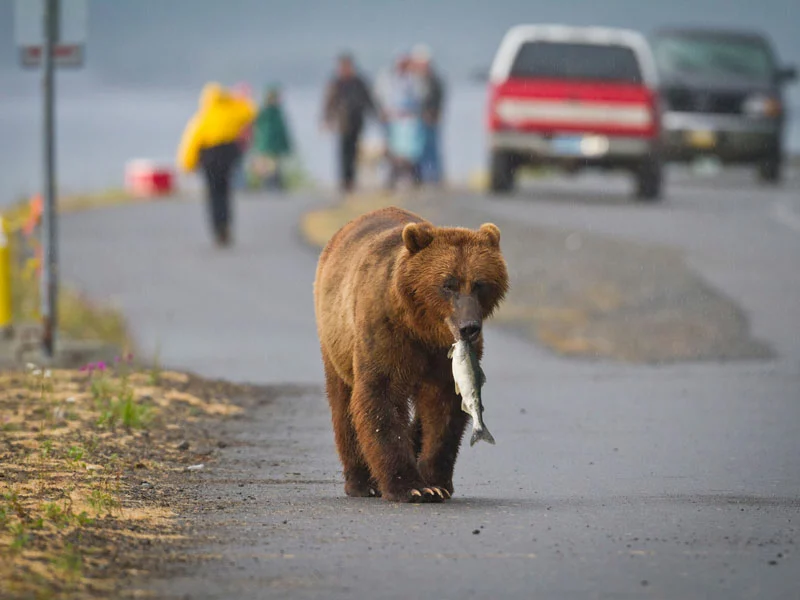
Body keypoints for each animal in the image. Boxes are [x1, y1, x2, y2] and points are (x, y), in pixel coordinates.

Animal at [312, 206, 506, 502]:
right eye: (447, 284)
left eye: (479, 283)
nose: (469, 327)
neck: (425, 329)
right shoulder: (387, 331)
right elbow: (382, 397)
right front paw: (410, 486)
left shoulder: (442, 361)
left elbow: (444, 409)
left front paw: (436, 482)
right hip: (336, 339)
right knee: (343, 405)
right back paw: (361, 482)